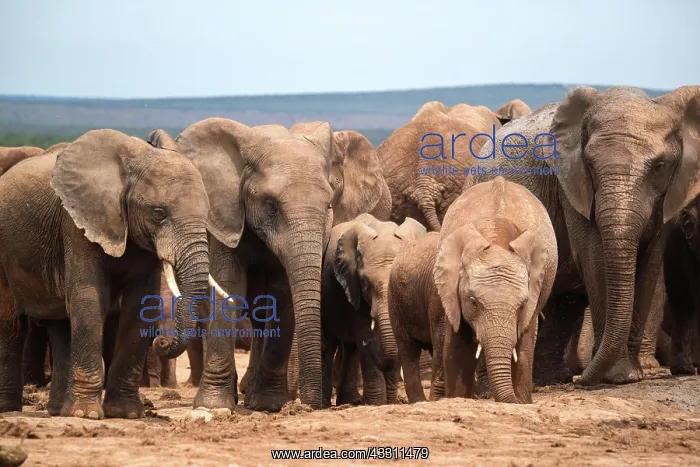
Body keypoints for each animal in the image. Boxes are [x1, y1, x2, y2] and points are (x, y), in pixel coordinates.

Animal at [0, 129, 223, 419]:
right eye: (158, 213)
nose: (161, 341)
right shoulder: (77, 223)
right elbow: (89, 299)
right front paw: (86, 415)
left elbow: (141, 305)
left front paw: (126, 413)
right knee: (11, 323)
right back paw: (9, 408)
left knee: (61, 326)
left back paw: (58, 410)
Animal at [320, 213, 426, 407]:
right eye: (365, 283)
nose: (368, 343)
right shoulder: (352, 287)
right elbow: (363, 331)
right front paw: (377, 403)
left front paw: (389, 402)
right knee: (330, 344)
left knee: (351, 349)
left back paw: (350, 401)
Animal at [430, 176, 557, 403]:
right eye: (473, 302)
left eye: (522, 305)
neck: (496, 236)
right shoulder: (452, 293)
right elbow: (456, 347)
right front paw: (459, 399)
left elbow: (523, 349)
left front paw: (522, 403)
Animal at [464, 85, 700, 387]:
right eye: (589, 164)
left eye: (660, 166)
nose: (584, 378)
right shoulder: (572, 186)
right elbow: (595, 260)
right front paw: (618, 377)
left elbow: (649, 265)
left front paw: (631, 376)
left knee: (564, 301)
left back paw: (552, 380)